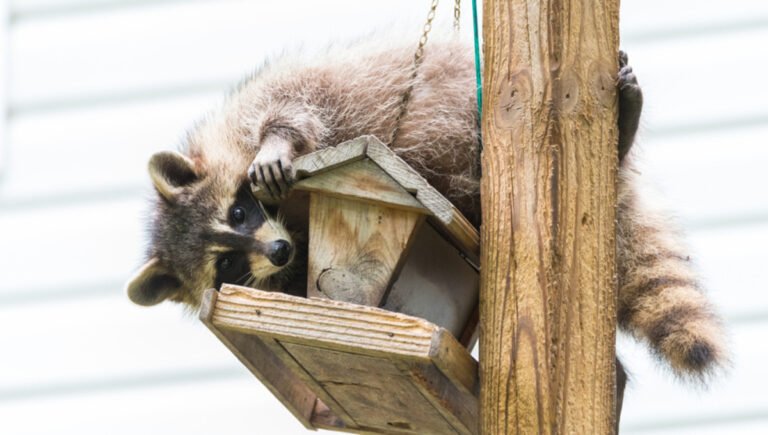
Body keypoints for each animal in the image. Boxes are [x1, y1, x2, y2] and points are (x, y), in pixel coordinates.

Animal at [126, 38, 726, 385]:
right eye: (224, 265)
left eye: (239, 212)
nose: (276, 251)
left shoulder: (273, 97)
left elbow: (294, 105)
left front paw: (277, 143)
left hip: (468, 94)